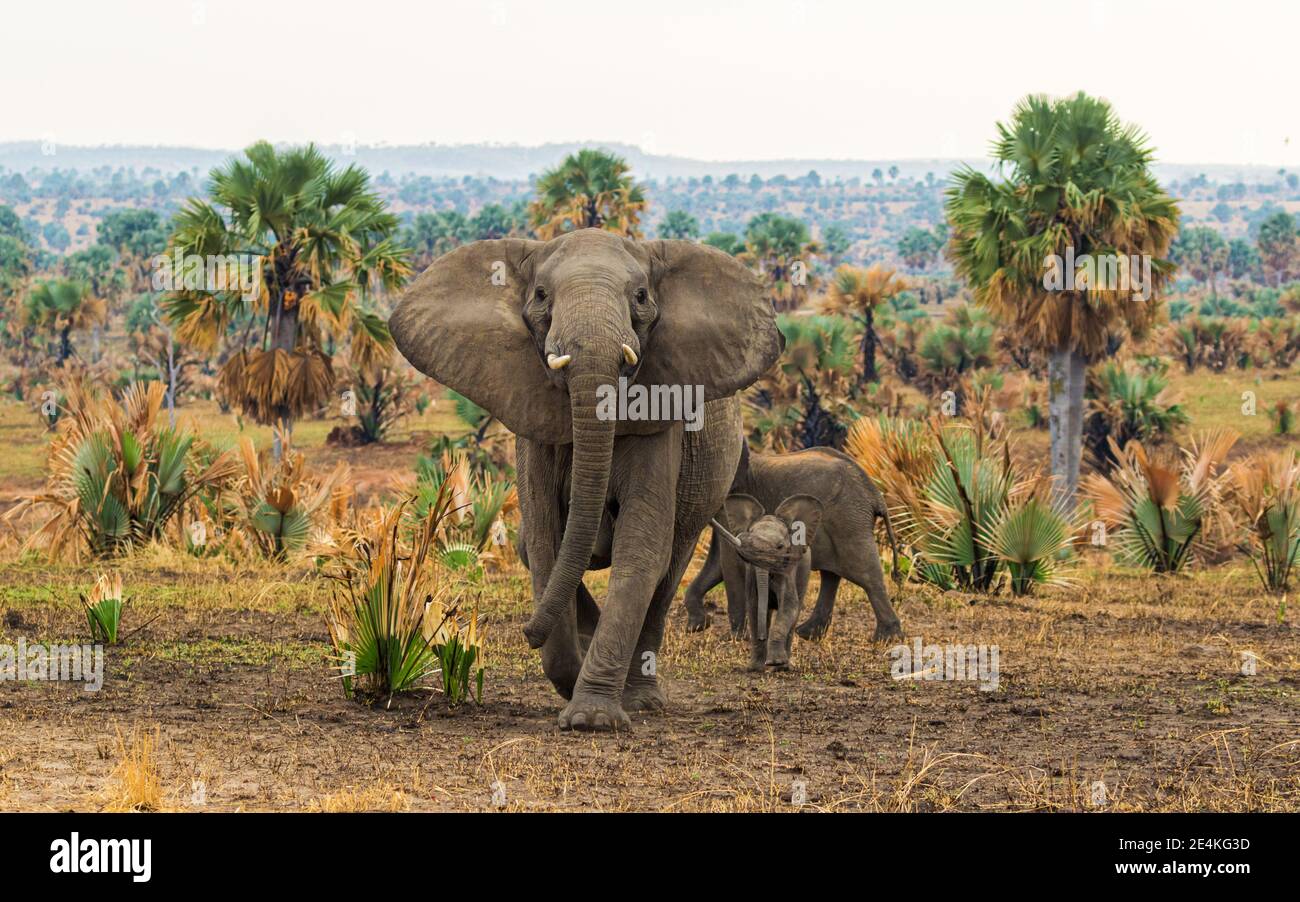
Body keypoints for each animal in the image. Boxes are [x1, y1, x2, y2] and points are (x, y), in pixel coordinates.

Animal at [390, 229, 783, 731]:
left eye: (641, 296)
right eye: (541, 295)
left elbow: (640, 548)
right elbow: (544, 542)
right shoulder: (531, 425)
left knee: (667, 571)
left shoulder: (662, 413)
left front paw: (592, 718)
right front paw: (572, 681)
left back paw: (641, 699)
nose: (525, 633)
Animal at [683, 442, 903, 641]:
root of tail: (876, 495)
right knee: (831, 574)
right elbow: (718, 563)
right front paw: (697, 625)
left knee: (864, 573)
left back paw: (886, 639)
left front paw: (733, 638)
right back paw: (808, 634)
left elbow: (729, 561)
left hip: (849, 521)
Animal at [713, 493, 823, 671]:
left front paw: (775, 663)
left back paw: (785, 666)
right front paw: (755, 668)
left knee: (795, 613)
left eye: (780, 547)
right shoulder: (752, 572)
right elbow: (754, 606)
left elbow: (788, 606)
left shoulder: (787, 570)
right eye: (748, 544)